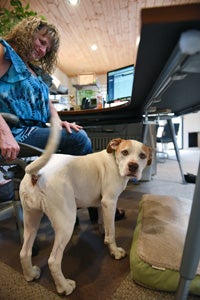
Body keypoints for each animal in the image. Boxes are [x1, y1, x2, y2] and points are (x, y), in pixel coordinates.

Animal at [19, 117, 152, 296]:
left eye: (142, 156)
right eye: (125, 152)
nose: (133, 166)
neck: (114, 160)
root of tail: (37, 173)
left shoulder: (103, 203)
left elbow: (105, 224)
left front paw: (104, 235)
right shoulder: (110, 201)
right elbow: (112, 232)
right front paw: (114, 251)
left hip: (31, 219)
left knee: (24, 252)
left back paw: (30, 274)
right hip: (65, 223)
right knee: (53, 260)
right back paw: (64, 287)